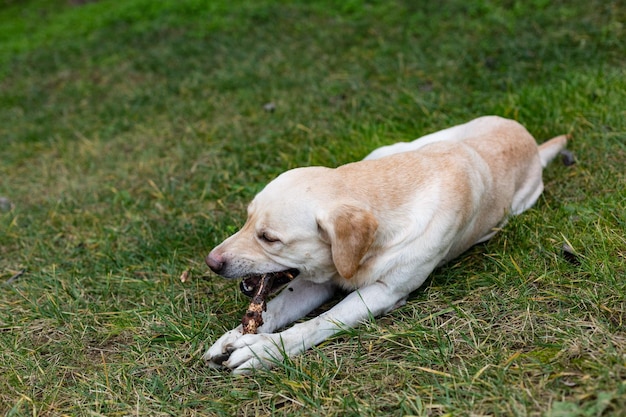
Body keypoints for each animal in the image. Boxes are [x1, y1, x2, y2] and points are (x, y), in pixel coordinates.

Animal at [201, 115, 564, 372]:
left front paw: (263, 350)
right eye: (247, 219)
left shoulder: (383, 292)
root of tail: (523, 132)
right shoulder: (317, 279)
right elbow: (277, 308)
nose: (212, 262)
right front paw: (236, 336)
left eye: (269, 238)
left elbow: (319, 322)